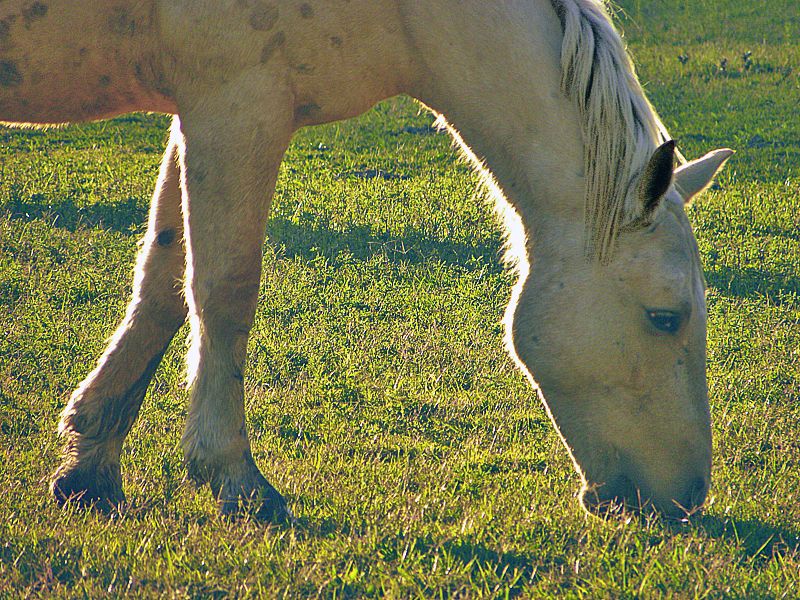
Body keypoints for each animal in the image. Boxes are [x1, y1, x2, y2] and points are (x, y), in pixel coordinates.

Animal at [0, 0, 732, 520]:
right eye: (665, 318)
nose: (688, 498)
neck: (402, 13)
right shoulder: (236, 108)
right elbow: (225, 292)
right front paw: (235, 479)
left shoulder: (201, 116)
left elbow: (163, 286)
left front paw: (89, 467)